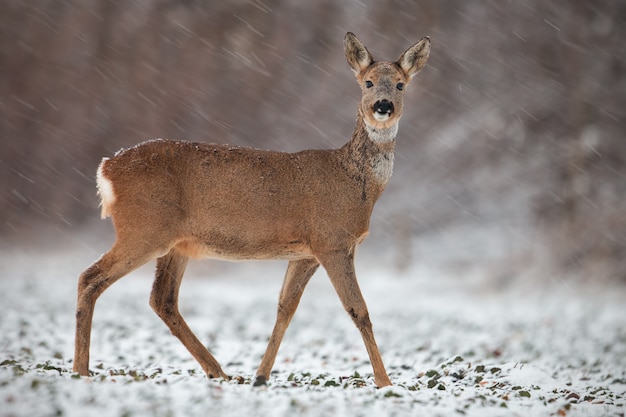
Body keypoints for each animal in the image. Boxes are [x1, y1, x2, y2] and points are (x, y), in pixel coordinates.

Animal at [70, 32, 426, 386]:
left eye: (400, 84)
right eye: (367, 82)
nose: (383, 106)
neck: (354, 182)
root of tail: (107, 168)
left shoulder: (305, 252)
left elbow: (285, 308)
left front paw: (261, 375)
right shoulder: (332, 241)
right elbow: (359, 310)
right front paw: (385, 381)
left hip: (176, 243)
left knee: (162, 299)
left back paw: (218, 371)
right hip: (144, 229)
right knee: (90, 277)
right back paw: (81, 369)